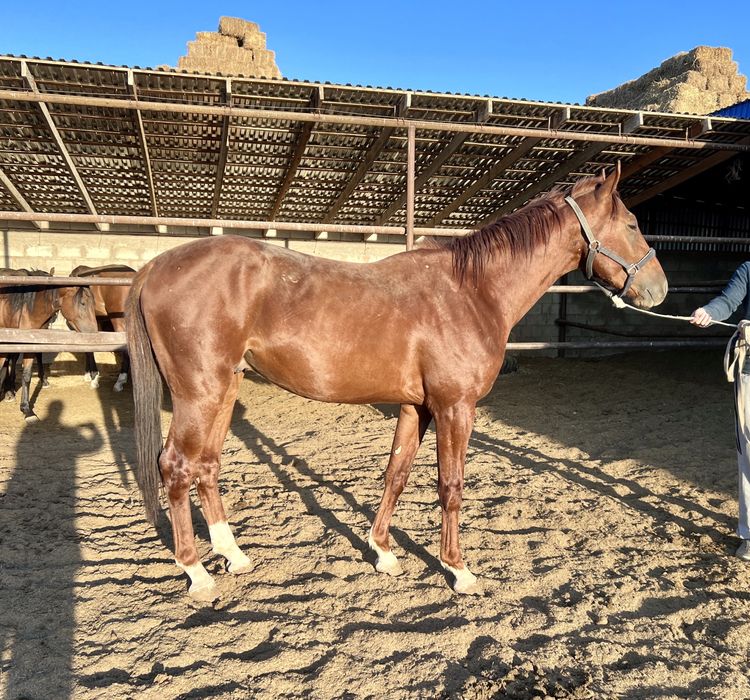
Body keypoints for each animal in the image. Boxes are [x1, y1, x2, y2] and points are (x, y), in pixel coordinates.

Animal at [0, 268, 98, 420]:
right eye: (83, 303)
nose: (94, 332)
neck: (26, 309)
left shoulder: (31, 343)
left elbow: (27, 375)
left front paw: (27, 410)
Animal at [126, 165, 668, 601]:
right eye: (632, 224)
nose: (659, 289)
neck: (471, 291)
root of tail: (154, 266)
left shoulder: (417, 408)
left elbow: (396, 474)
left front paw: (383, 552)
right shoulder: (455, 407)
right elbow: (451, 485)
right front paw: (459, 570)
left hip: (225, 390)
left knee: (207, 466)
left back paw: (233, 555)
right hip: (199, 393)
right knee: (176, 466)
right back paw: (197, 573)